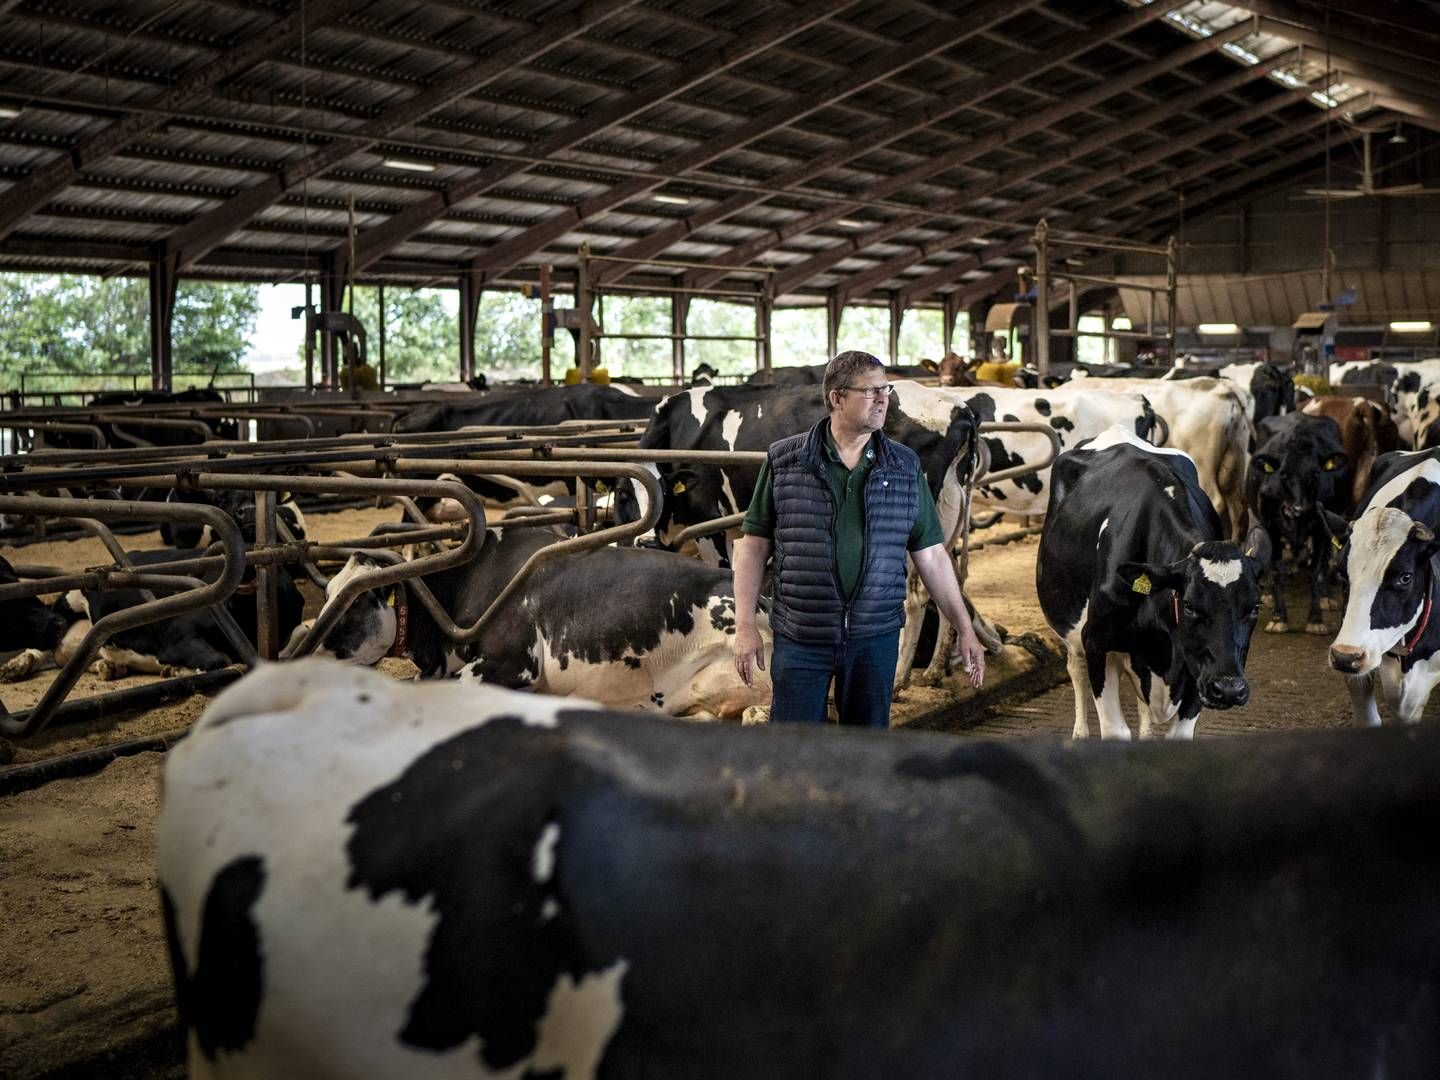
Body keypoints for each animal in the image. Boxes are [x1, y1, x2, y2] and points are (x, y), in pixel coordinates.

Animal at [1036, 426, 1272, 743]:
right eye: (1189, 605)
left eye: (1255, 606)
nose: (1229, 689)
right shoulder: (1096, 642)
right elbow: (1116, 731)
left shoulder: (1195, 666)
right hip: (1072, 629)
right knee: (1076, 670)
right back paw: (1080, 734)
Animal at [1249, 411, 1347, 633]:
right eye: (1283, 474)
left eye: (1316, 473)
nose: (1300, 509)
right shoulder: (1271, 525)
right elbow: (1277, 570)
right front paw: (1279, 618)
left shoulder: (1321, 528)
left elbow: (1316, 572)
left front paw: (1316, 619)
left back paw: (1326, 597)